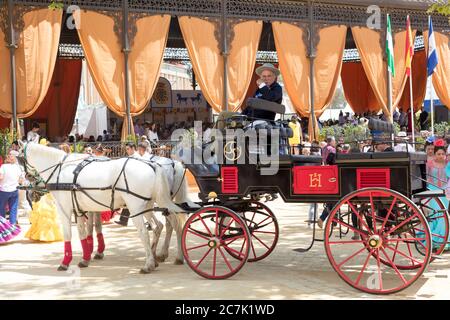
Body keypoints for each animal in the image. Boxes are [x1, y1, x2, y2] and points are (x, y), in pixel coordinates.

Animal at [20, 142, 183, 272]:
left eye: (20, 159)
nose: (30, 192)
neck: (60, 169)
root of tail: (154, 165)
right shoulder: (79, 209)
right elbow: (83, 232)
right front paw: (85, 258)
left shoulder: (64, 208)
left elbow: (69, 234)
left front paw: (65, 262)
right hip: (149, 205)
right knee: (163, 226)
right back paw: (162, 257)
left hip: (136, 207)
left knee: (146, 232)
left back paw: (150, 263)